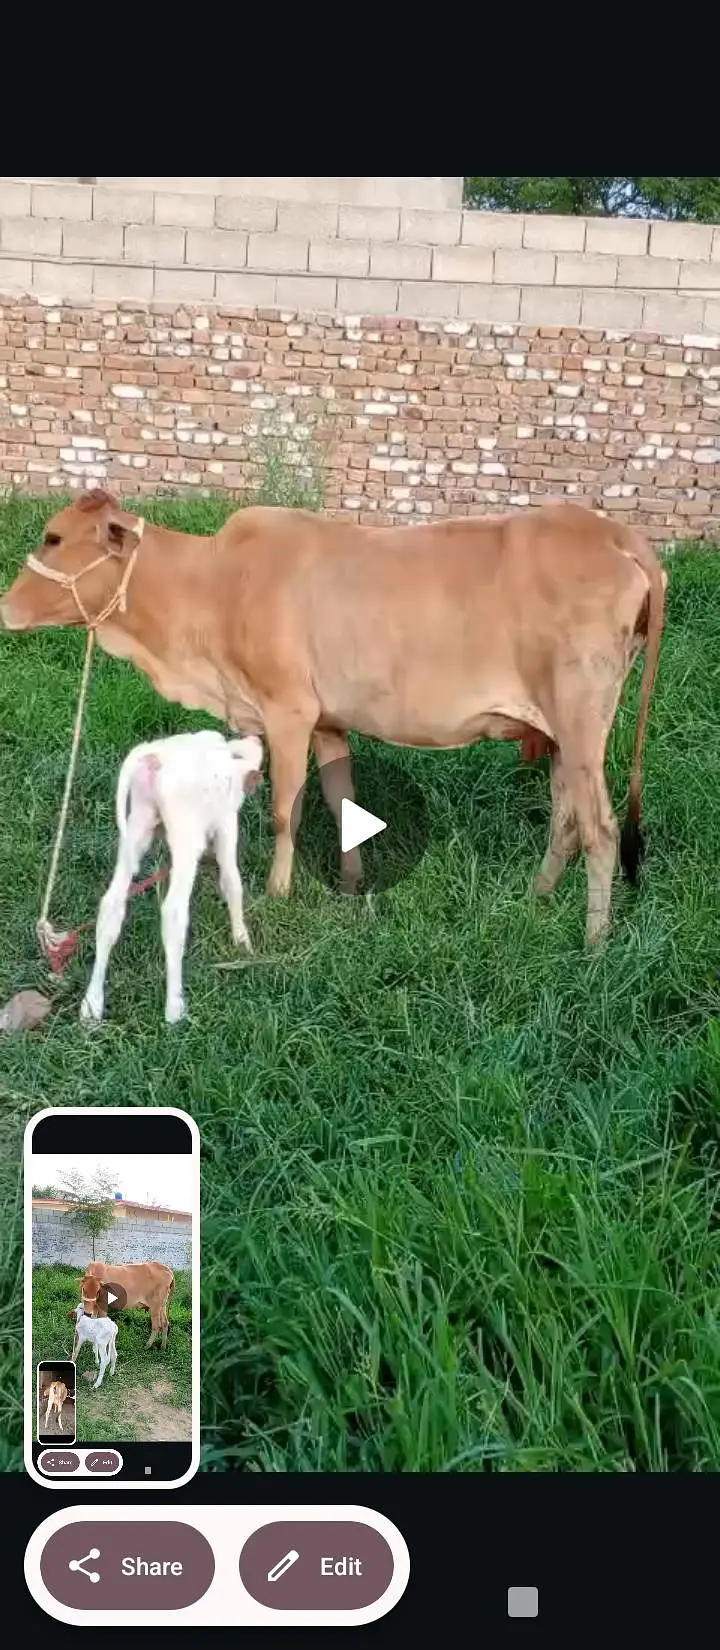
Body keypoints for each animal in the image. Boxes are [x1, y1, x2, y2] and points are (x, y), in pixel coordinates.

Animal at [0, 490, 665, 944]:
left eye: (54, 538)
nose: (6, 607)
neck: (211, 588)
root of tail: (612, 532)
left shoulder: (286, 711)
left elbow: (283, 809)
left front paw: (275, 894)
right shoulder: (326, 722)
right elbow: (341, 799)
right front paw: (350, 886)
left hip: (581, 719)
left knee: (601, 829)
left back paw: (593, 943)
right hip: (557, 734)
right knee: (567, 821)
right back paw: (537, 898)